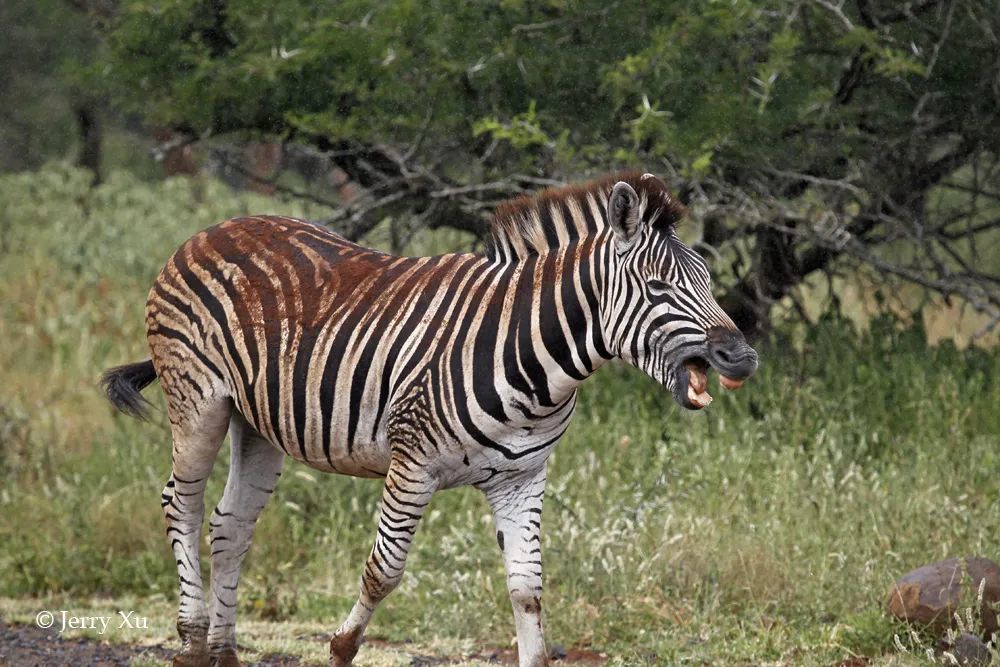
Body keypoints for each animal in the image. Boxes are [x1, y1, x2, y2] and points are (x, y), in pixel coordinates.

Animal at [101, 171, 756, 667]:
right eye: (659, 286)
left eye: (708, 280)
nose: (741, 357)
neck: (535, 360)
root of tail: (213, 228)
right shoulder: (412, 463)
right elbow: (382, 572)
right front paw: (340, 649)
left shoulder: (523, 478)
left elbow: (528, 590)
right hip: (199, 404)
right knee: (180, 504)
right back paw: (191, 643)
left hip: (258, 425)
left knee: (230, 525)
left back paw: (226, 652)